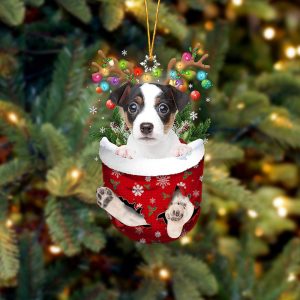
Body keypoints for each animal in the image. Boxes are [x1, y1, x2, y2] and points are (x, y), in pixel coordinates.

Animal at [96, 82, 195, 239]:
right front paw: (125, 150)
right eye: (133, 107)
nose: (146, 126)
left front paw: (181, 148)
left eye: (163, 108)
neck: (152, 151)